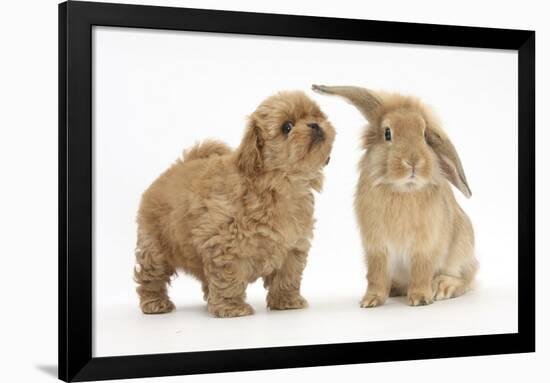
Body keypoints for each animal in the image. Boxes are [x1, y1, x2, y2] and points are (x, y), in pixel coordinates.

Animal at [134, 91, 336, 320]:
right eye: (287, 127)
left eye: (316, 115)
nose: (315, 125)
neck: (278, 185)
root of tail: (173, 169)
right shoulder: (226, 246)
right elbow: (228, 278)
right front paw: (232, 308)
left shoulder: (292, 246)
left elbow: (287, 277)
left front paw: (287, 302)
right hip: (155, 247)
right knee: (151, 277)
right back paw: (155, 303)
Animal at [314, 85, 478, 308]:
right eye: (387, 133)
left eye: (424, 134)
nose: (413, 161)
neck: (403, 190)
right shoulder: (376, 247)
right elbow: (376, 275)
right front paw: (370, 300)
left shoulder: (424, 247)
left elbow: (421, 271)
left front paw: (420, 298)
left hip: (460, 249)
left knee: (466, 278)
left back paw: (442, 287)